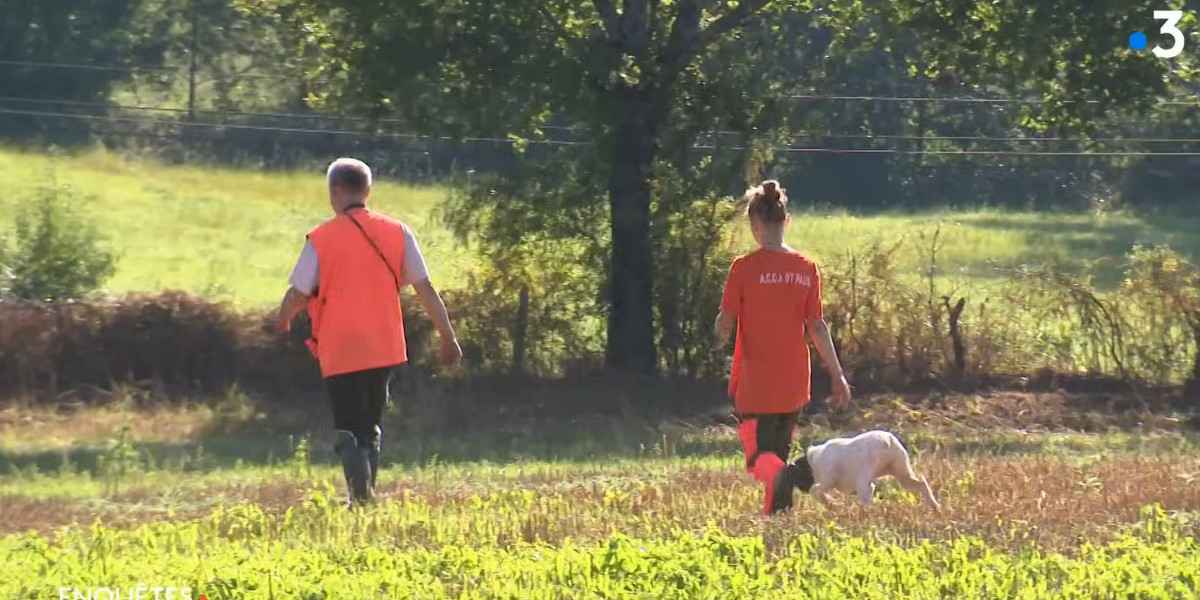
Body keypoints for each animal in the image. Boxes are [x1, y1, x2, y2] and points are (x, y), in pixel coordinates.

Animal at [792, 432, 940, 511]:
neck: (812, 461)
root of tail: (886, 441)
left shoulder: (827, 481)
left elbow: (816, 491)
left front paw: (831, 504)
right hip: (903, 474)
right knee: (922, 485)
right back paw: (935, 507)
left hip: (863, 481)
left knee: (866, 498)